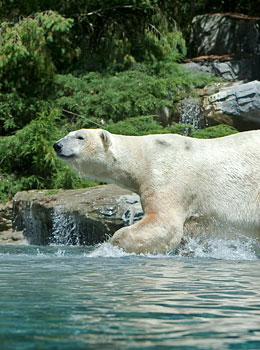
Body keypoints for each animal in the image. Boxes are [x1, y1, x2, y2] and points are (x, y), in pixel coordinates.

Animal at [53, 128, 260, 252]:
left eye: (80, 137)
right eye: (69, 133)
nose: (57, 145)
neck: (142, 156)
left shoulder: (166, 174)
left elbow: (164, 224)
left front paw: (102, 250)